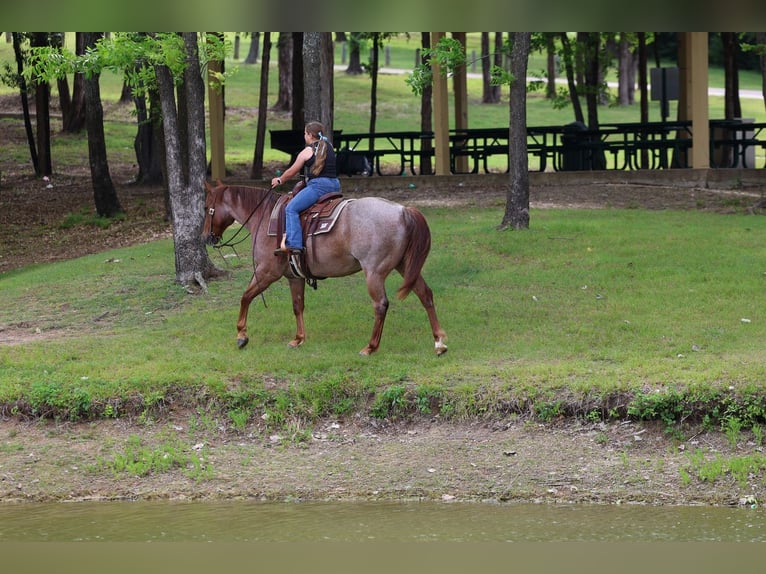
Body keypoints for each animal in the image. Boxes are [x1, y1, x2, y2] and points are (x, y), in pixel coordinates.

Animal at [202, 181, 448, 356]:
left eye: (206, 207)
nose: (206, 237)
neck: (265, 217)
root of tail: (402, 210)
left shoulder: (266, 273)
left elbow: (245, 297)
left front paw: (241, 335)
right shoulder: (294, 277)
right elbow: (297, 306)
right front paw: (298, 338)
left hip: (374, 272)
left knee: (381, 305)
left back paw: (370, 347)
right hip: (404, 266)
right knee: (425, 294)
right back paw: (439, 343)